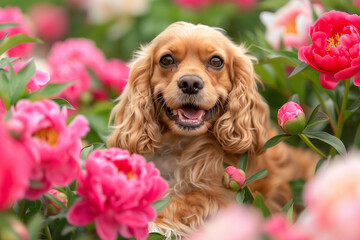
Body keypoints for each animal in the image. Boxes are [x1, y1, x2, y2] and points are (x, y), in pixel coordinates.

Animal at [107, 22, 318, 238]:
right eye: (166, 60)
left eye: (216, 61)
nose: (190, 83)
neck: (181, 146)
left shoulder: (229, 198)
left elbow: (183, 201)